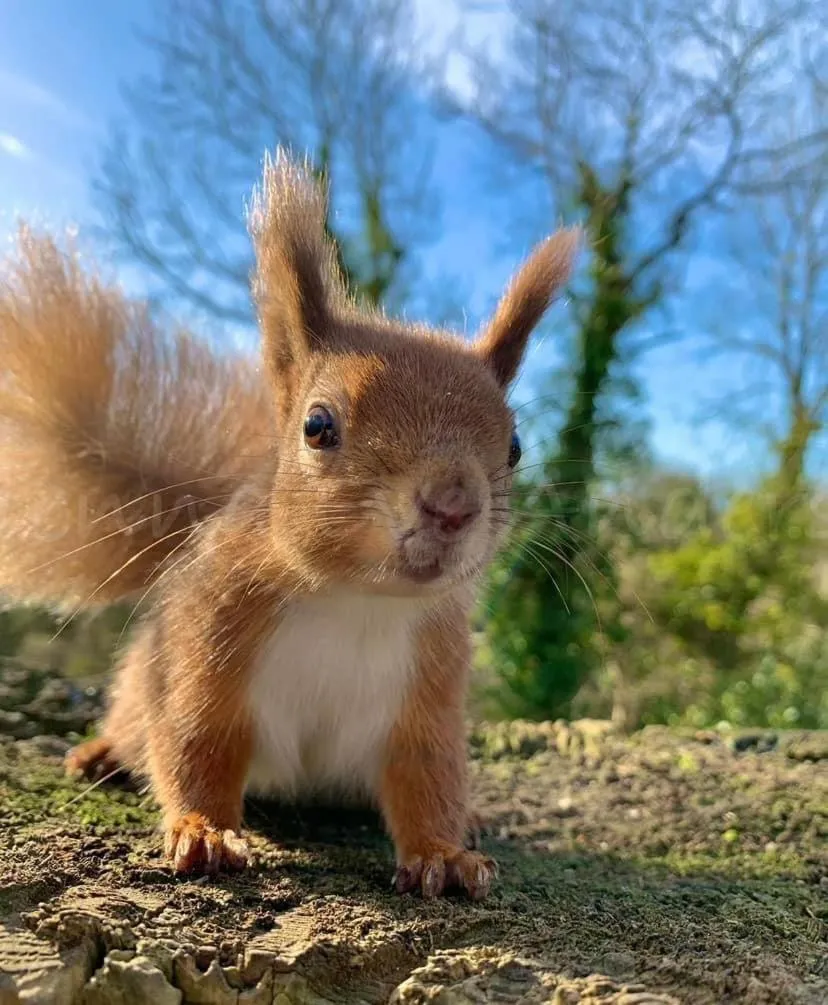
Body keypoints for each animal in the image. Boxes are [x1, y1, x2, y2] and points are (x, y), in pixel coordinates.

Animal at [0, 150, 579, 900]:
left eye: (514, 445)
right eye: (318, 425)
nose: (453, 505)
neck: (355, 598)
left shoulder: (429, 689)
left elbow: (429, 777)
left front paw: (445, 851)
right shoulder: (208, 644)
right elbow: (196, 743)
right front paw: (204, 831)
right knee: (136, 721)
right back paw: (101, 752)